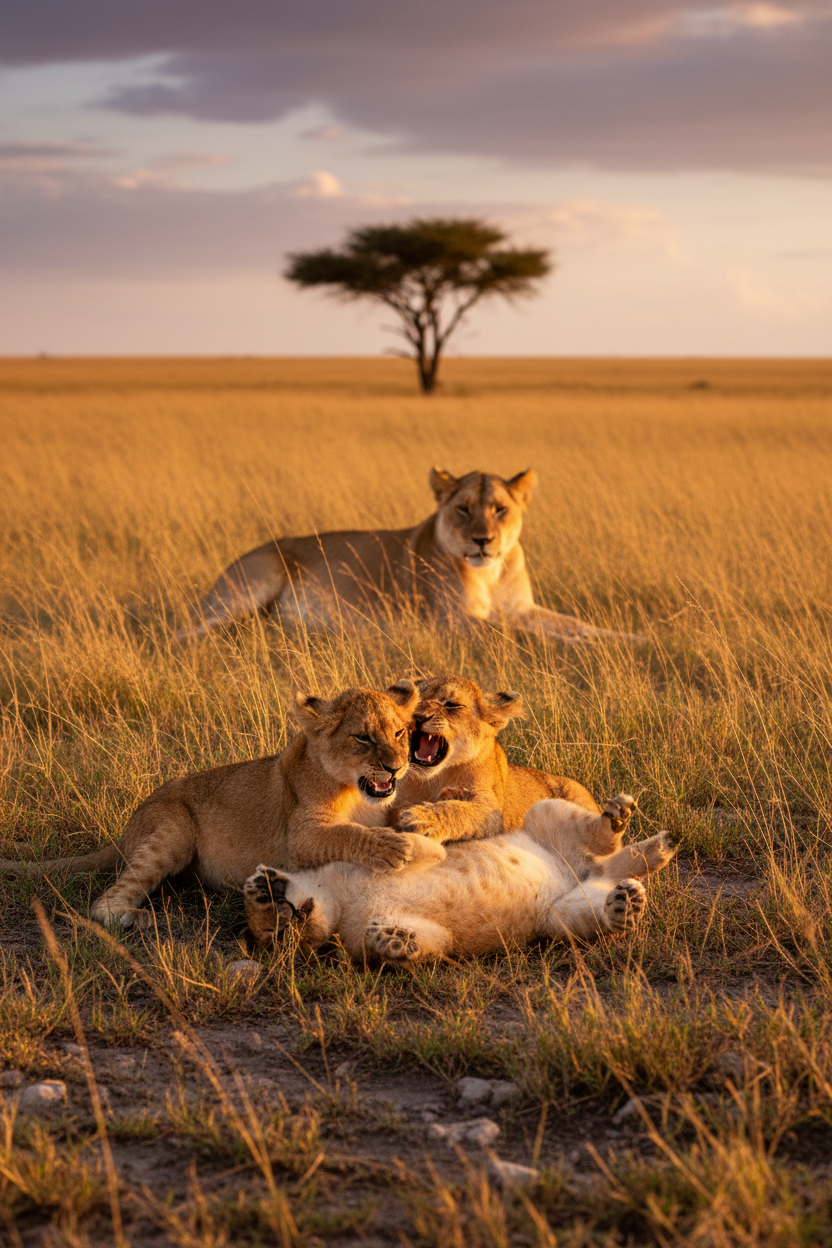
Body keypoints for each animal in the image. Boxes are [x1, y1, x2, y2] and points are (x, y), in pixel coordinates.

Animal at [0, 681, 439, 929]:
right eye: (363, 738)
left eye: (400, 733)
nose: (397, 767)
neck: (356, 791)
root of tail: (127, 828)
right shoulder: (301, 838)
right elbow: (350, 833)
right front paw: (395, 847)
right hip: (172, 830)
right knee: (105, 900)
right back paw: (132, 917)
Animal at [178, 467, 642, 643]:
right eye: (463, 509)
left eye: (499, 510)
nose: (482, 541)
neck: (489, 574)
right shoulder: (453, 623)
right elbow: (526, 635)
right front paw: (578, 648)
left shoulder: (523, 608)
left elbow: (575, 624)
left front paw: (632, 640)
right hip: (255, 582)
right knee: (186, 632)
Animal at [243, 794, 675, 959]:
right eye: (276, 938)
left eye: (272, 925)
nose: (288, 918)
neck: (339, 901)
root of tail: (585, 872)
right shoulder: (394, 936)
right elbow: (432, 941)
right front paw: (392, 940)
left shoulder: (346, 866)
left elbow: (425, 848)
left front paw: (405, 838)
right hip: (558, 917)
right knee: (605, 888)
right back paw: (627, 898)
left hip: (544, 812)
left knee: (603, 841)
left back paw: (625, 820)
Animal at [392, 674, 602, 844]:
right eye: (415, 701)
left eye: (452, 705)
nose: (417, 717)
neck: (436, 777)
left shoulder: (491, 810)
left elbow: (458, 811)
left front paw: (420, 818)